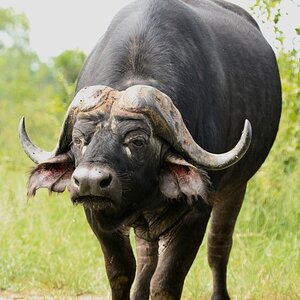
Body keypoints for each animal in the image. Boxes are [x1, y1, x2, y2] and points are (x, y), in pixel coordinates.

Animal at [19, 0, 282, 300]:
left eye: (137, 141)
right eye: (78, 140)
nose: (89, 182)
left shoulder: (196, 213)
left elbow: (166, 281)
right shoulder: (97, 215)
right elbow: (121, 272)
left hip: (236, 188)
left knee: (219, 245)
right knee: (147, 257)